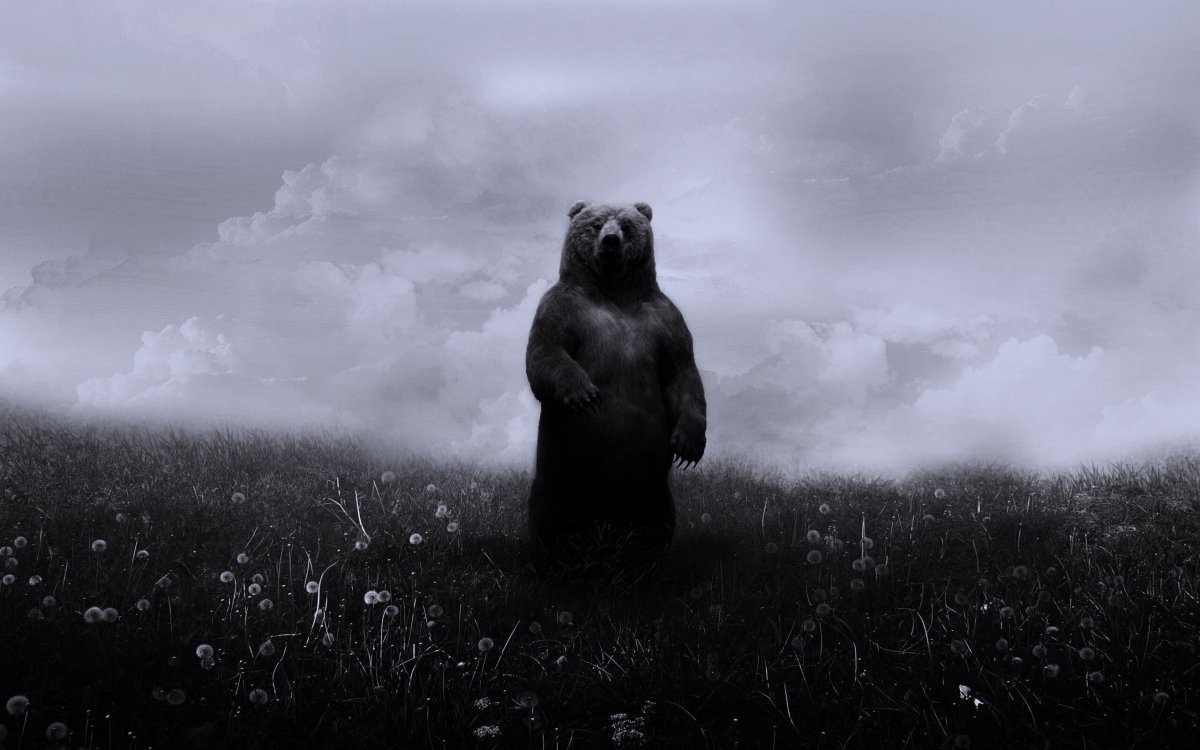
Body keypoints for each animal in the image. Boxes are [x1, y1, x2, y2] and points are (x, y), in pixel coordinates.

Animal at [525, 200, 707, 564]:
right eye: (595, 224)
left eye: (626, 225)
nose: (610, 241)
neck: (613, 292)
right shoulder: (562, 308)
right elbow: (545, 353)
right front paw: (584, 394)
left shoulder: (665, 321)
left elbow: (682, 373)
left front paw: (688, 445)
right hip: (561, 472)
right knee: (550, 515)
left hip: (651, 485)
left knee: (657, 517)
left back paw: (644, 552)